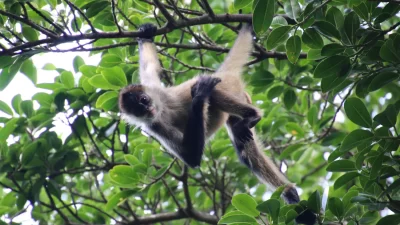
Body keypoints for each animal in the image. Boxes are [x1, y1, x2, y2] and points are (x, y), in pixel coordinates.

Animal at [118, 23, 316, 225]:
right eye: (138, 111)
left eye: (143, 99)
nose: (147, 108)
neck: (162, 108)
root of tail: (223, 73)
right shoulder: (154, 126)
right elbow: (192, 158)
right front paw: (199, 97)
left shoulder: (156, 92)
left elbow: (149, 67)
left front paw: (145, 34)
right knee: (245, 150)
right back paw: (291, 196)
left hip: (226, 86)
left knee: (213, 95)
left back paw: (252, 115)